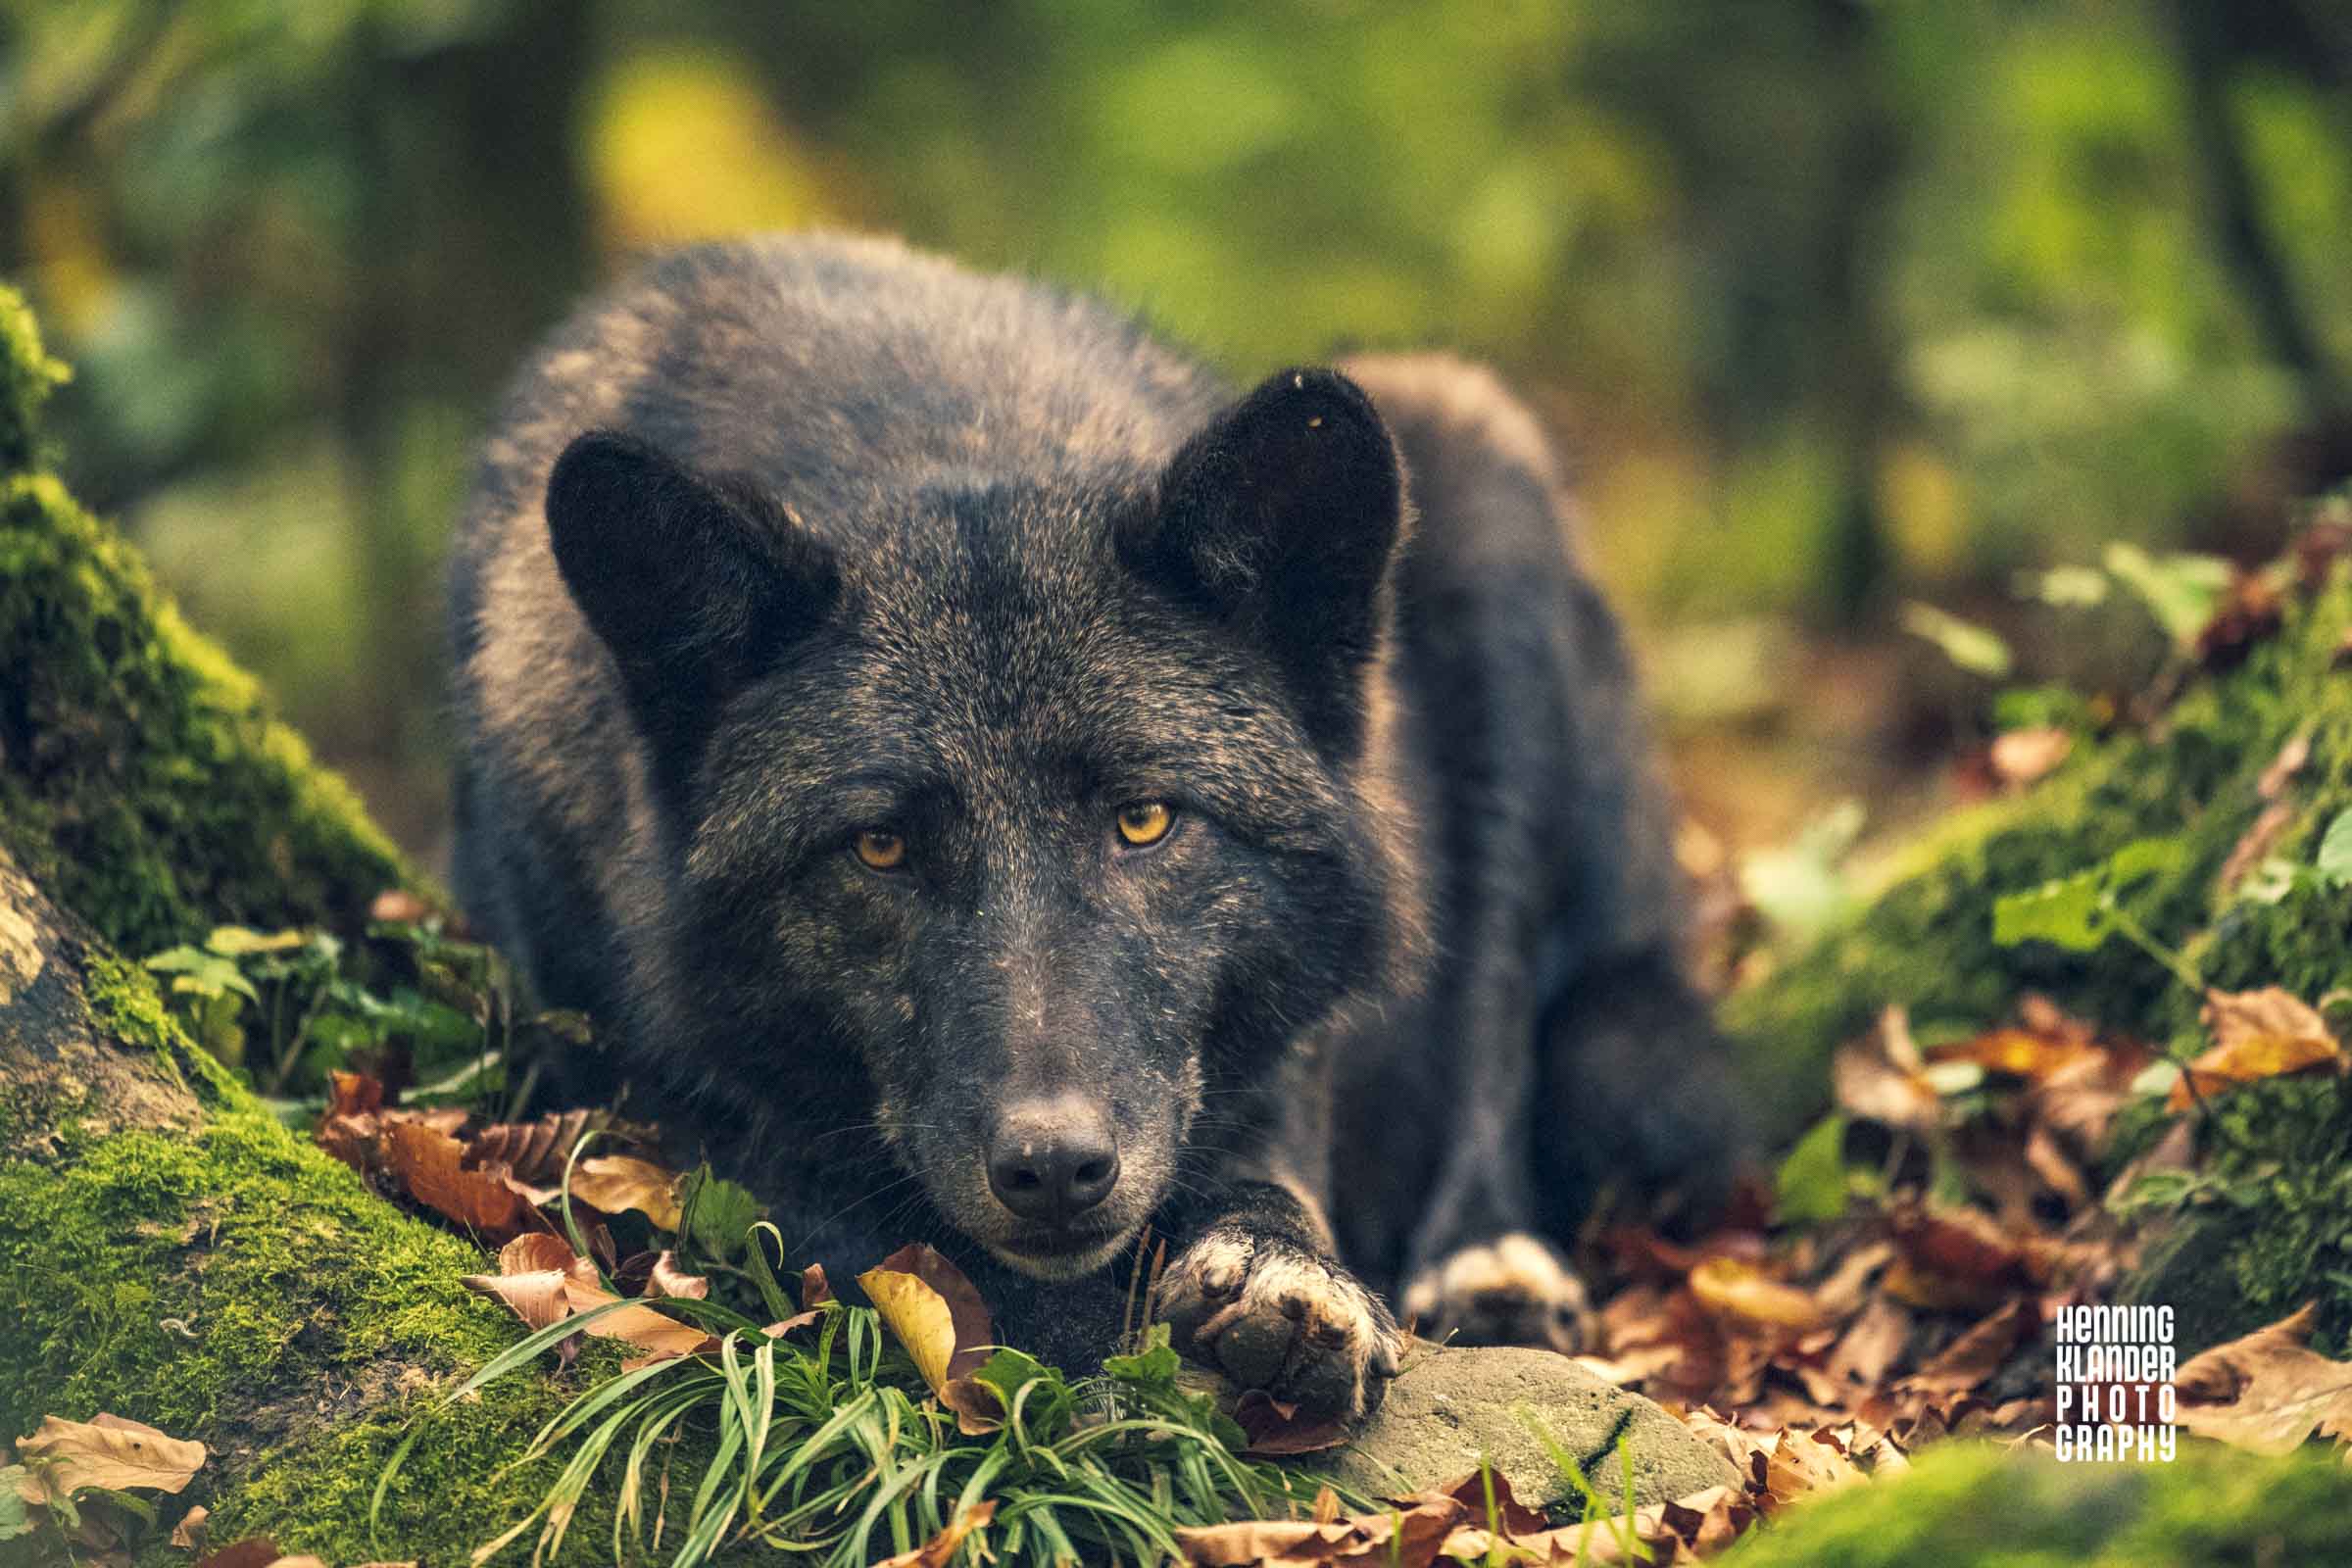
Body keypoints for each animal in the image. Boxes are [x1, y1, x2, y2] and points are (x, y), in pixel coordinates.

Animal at [448, 234, 1738, 1421]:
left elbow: (1276, 1173)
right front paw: (1099, 1363)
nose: (1056, 1169)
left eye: (1145, 819)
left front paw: (1279, 1271)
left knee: (1492, 1015)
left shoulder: (1277, 1059)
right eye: (879, 847)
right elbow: (902, 1236)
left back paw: (1491, 1265)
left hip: (1477, 460)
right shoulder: (654, 1107)